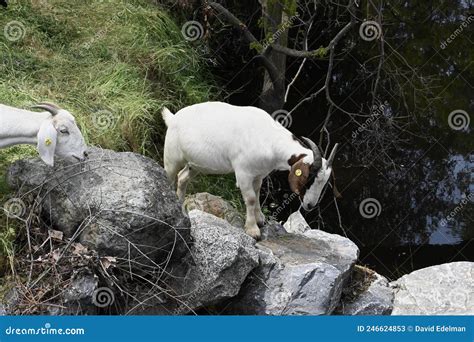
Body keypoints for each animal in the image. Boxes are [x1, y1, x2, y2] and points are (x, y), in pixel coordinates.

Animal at [162, 101, 336, 240]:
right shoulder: (243, 173)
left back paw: (180, 205)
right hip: (171, 157)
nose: (309, 205)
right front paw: (253, 230)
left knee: (182, 177)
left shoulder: (258, 174)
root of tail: (173, 118)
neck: (268, 138)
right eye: (309, 177)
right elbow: (251, 198)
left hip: (195, 164)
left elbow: (257, 192)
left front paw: (260, 219)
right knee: (169, 176)